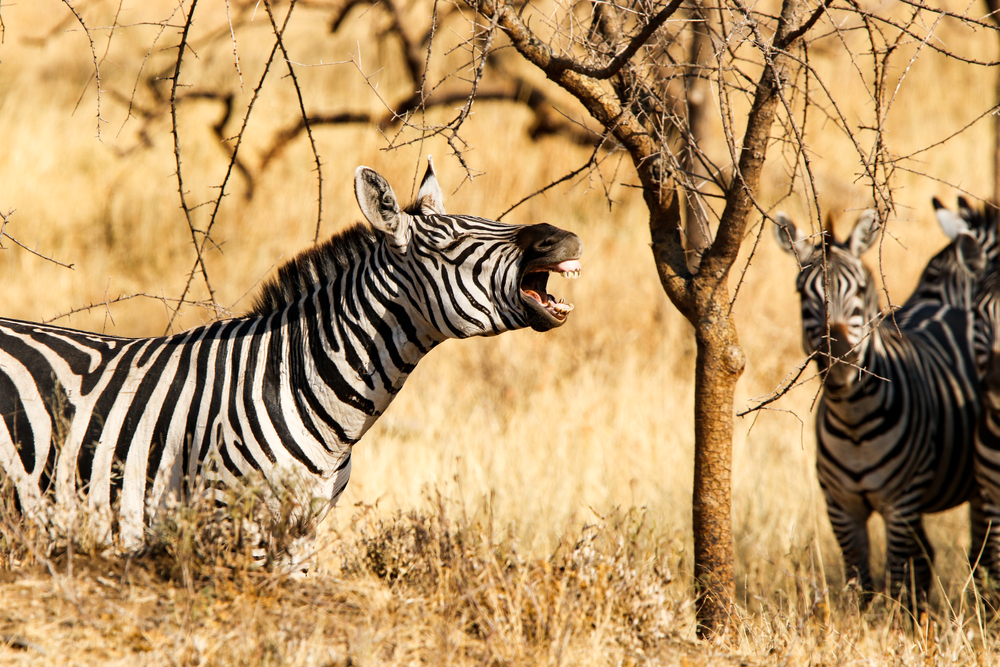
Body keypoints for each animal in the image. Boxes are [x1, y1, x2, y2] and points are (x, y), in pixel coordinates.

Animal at [774, 209, 984, 609]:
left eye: (858, 289)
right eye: (801, 293)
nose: (839, 363)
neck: (853, 418)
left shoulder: (900, 503)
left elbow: (895, 575)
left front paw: (893, 620)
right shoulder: (841, 506)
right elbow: (859, 579)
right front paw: (863, 618)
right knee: (928, 554)